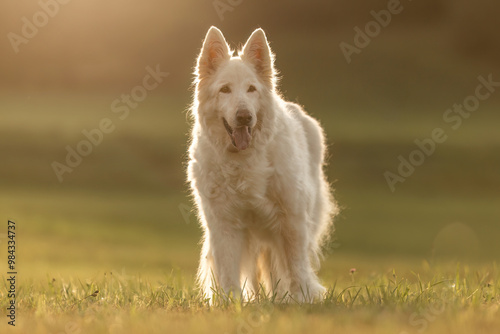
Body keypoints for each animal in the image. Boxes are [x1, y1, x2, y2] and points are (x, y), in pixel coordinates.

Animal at [187, 26, 336, 302]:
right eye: (225, 89)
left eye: (251, 89)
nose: (245, 117)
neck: (243, 160)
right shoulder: (224, 224)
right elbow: (228, 269)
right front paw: (230, 302)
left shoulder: (292, 220)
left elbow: (296, 266)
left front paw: (302, 300)